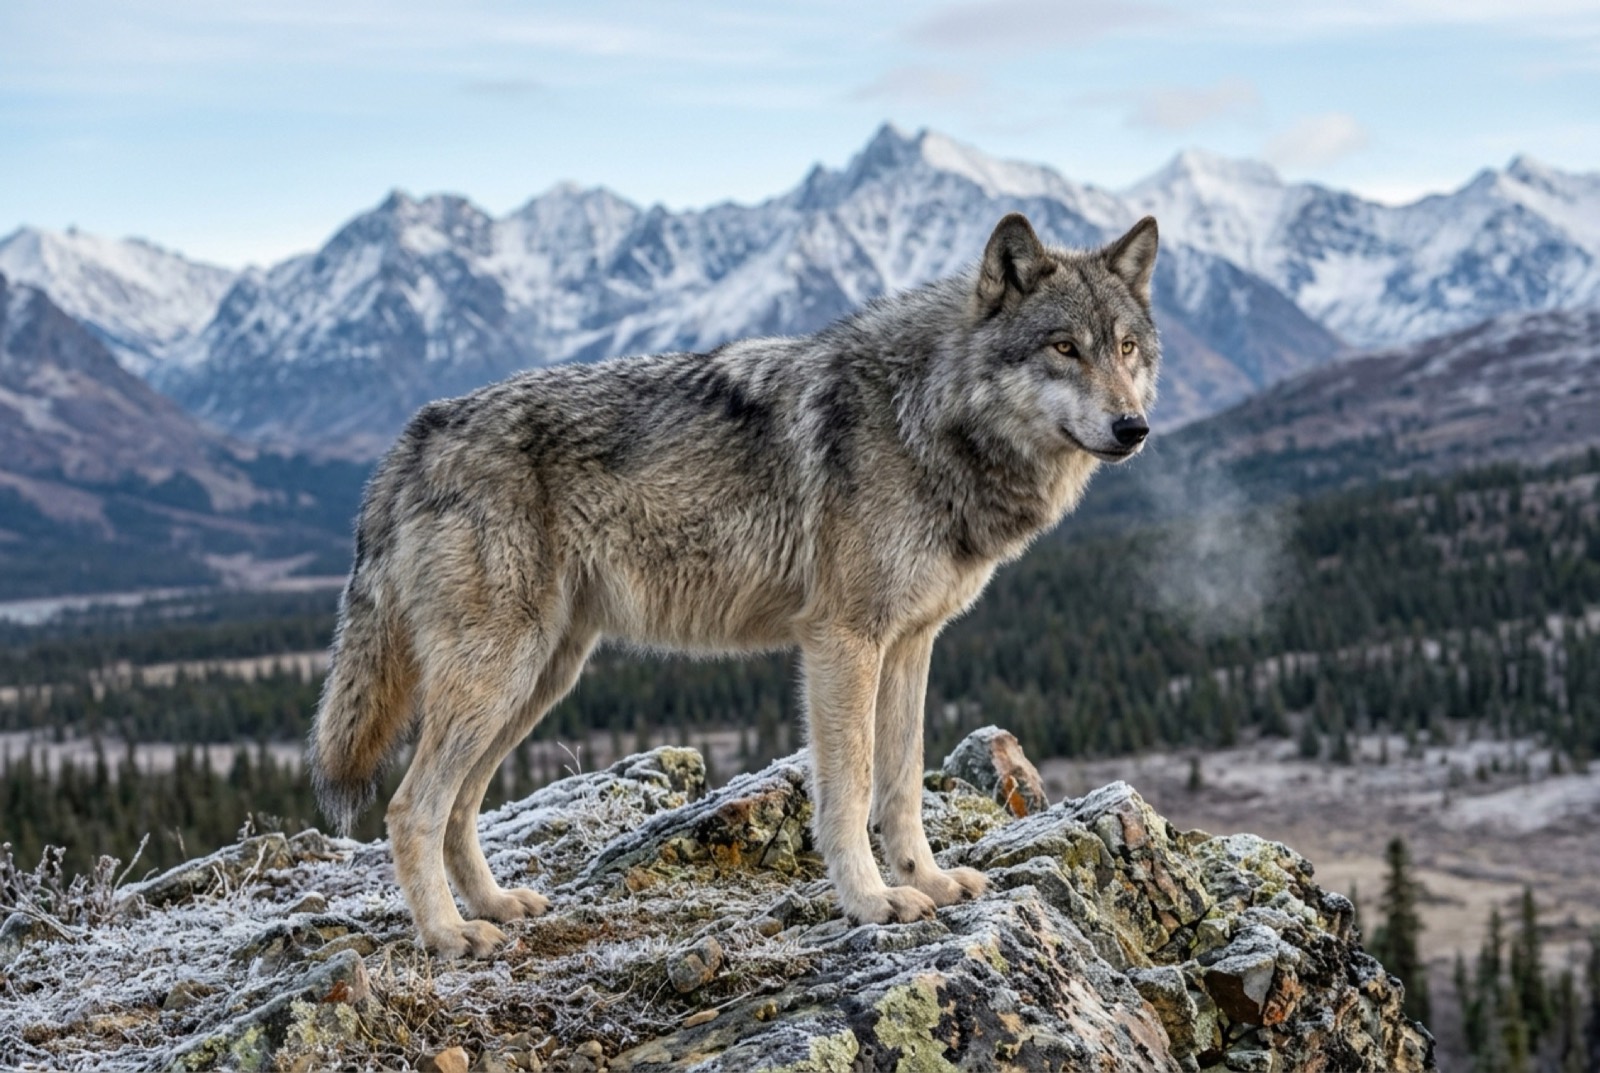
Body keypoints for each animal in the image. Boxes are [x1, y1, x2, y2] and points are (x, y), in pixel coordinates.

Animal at [308, 212, 1161, 958]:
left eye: (1126, 348)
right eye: (1063, 347)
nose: (1134, 427)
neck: (925, 416)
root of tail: (413, 437)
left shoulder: (911, 643)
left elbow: (901, 786)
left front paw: (928, 879)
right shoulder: (842, 642)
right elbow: (851, 788)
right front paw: (870, 901)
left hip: (537, 679)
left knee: (459, 805)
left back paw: (492, 905)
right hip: (499, 676)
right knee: (410, 807)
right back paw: (449, 935)